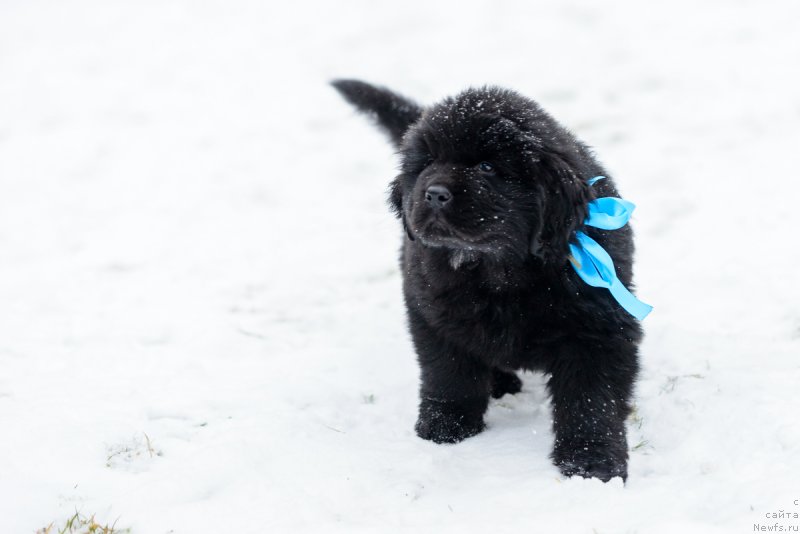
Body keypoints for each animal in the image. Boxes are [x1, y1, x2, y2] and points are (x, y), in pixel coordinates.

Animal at [334, 80, 648, 486]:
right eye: (427, 163)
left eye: (486, 167)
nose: (434, 193)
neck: (500, 269)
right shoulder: (433, 313)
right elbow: (448, 373)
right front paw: (445, 428)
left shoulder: (598, 329)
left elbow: (592, 400)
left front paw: (591, 464)